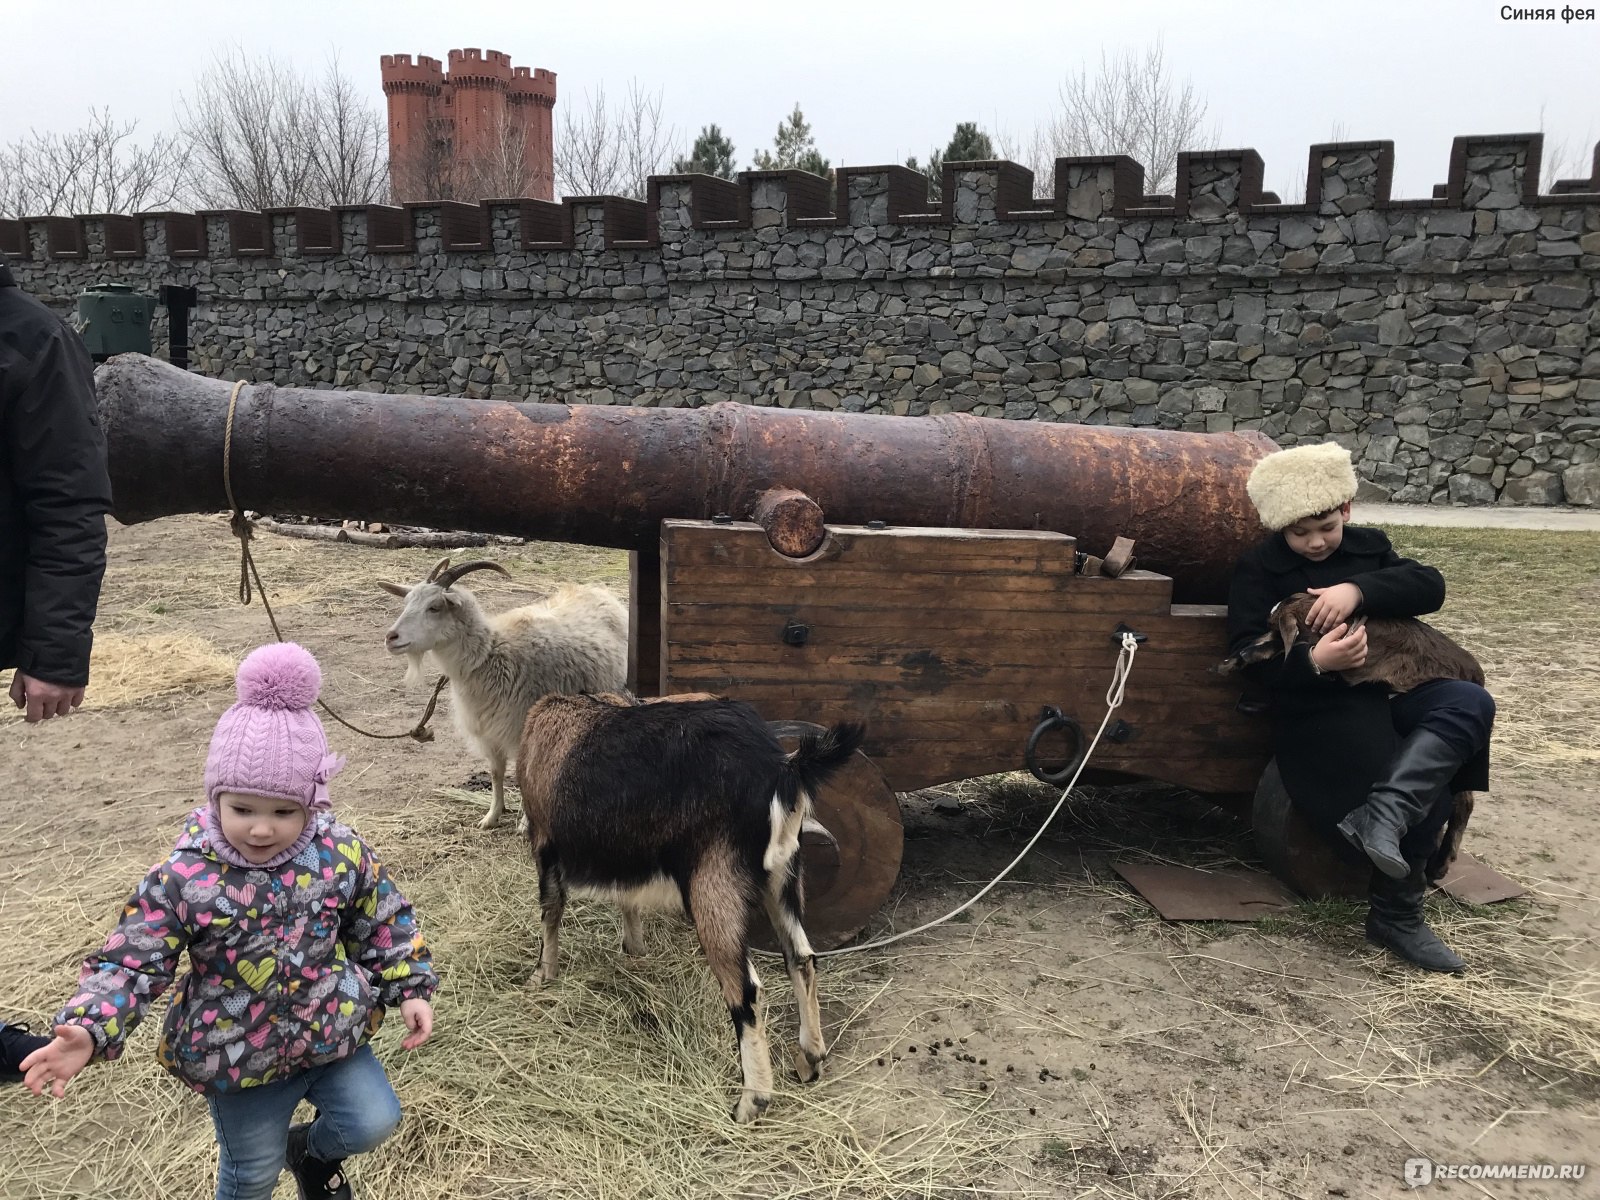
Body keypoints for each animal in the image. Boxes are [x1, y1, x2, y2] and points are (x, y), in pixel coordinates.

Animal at [379, 563, 624, 825]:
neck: (491, 655)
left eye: (434, 607)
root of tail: (596, 589)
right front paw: (491, 816)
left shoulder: (520, 727)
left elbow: (525, 774)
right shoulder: (489, 732)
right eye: (407, 603)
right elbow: (496, 773)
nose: (391, 637)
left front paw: (526, 823)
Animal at [515, 691, 870, 1126]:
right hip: (784, 876)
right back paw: (810, 1059)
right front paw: (634, 950)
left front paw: (541, 975)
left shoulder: (544, 842)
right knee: (802, 959)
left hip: (715, 883)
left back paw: (751, 1102)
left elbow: (551, 908)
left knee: (745, 988)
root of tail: (782, 771)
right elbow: (626, 899)